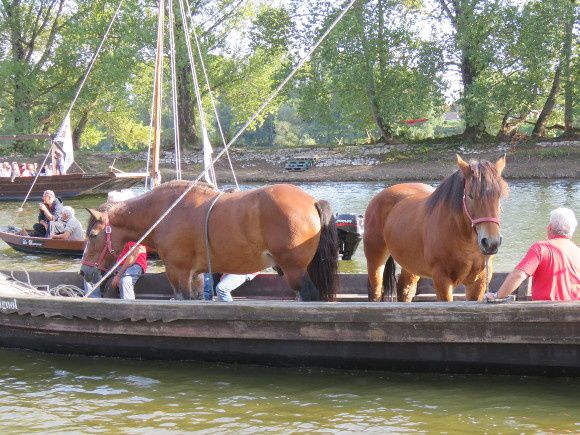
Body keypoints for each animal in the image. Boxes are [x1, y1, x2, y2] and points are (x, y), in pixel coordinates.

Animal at [79, 181, 338, 300]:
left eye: (92, 235)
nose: (84, 272)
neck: (165, 212)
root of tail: (312, 200)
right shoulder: (195, 275)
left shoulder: (178, 272)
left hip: (294, 269)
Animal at [368, 157, 508, 304]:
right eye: (470, 195)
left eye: (498, 196)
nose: (491, 242)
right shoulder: (442, 280)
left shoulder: (478, 282)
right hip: (375, 260)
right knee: (376, 291)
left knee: (405, 290)